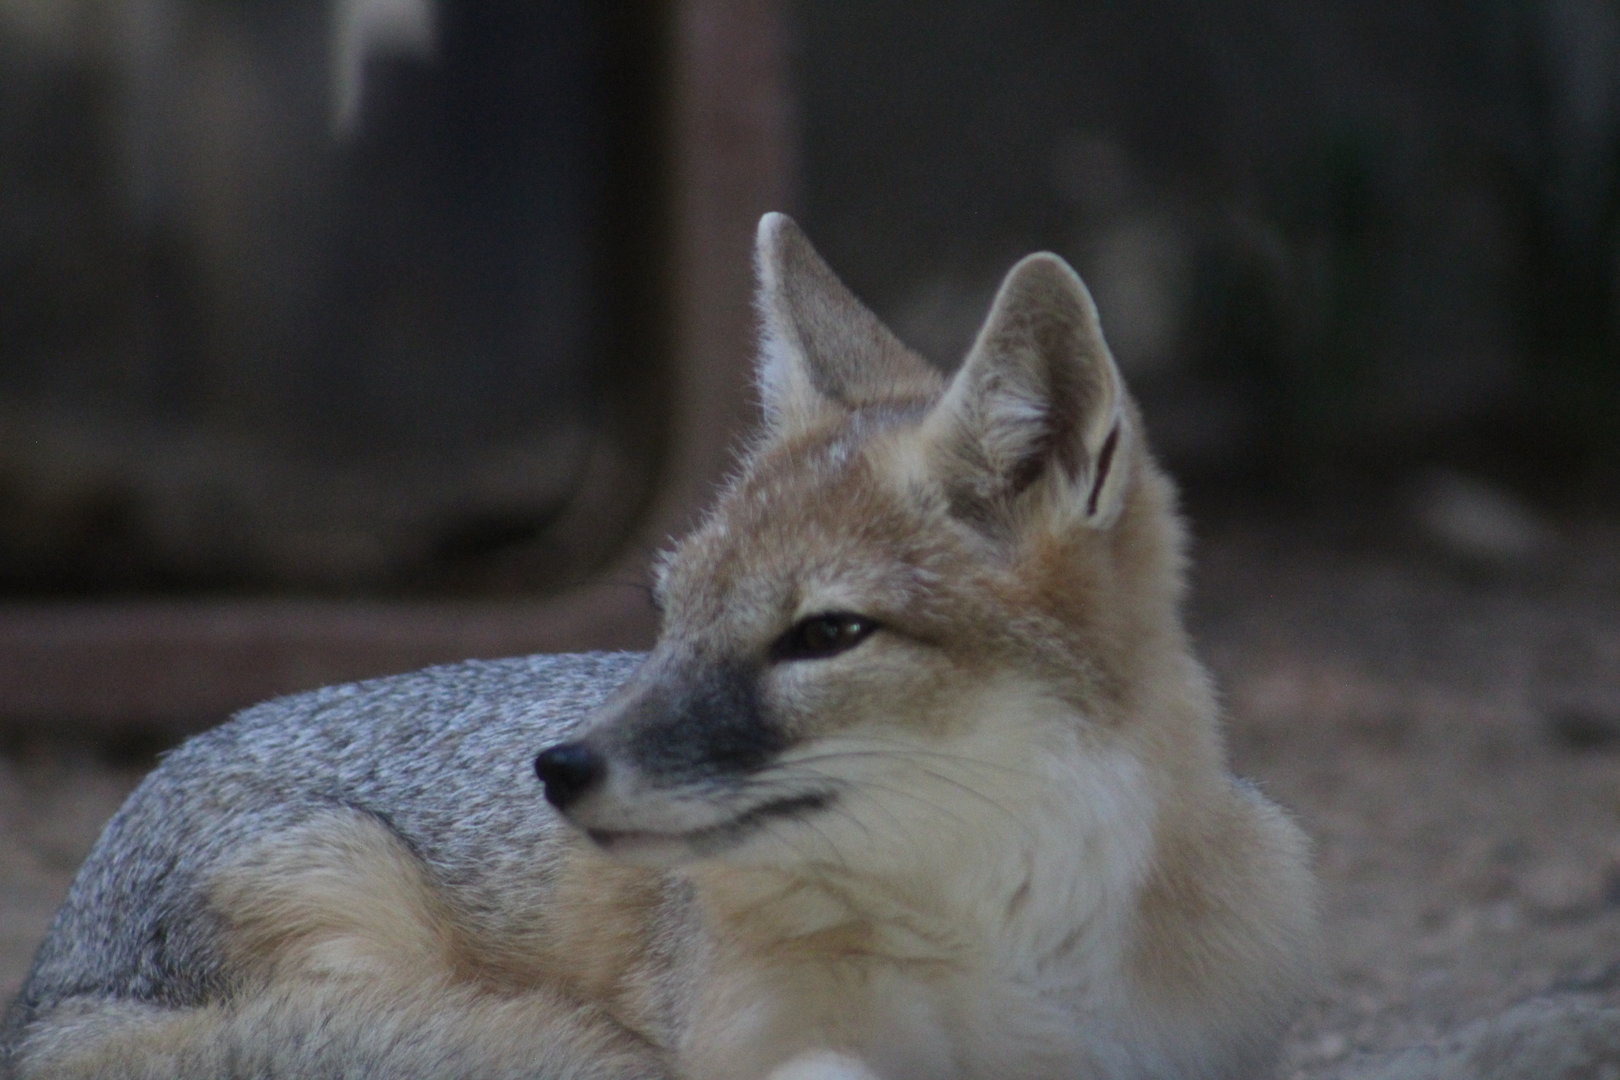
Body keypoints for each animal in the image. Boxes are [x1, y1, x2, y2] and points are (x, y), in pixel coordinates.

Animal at [1, 213, 1318, 1080]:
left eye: (826, 634)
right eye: (670, 611)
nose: (558, 767)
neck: (1014, 954)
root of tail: (51, 978)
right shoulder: (750, 1043)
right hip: (344, 892)